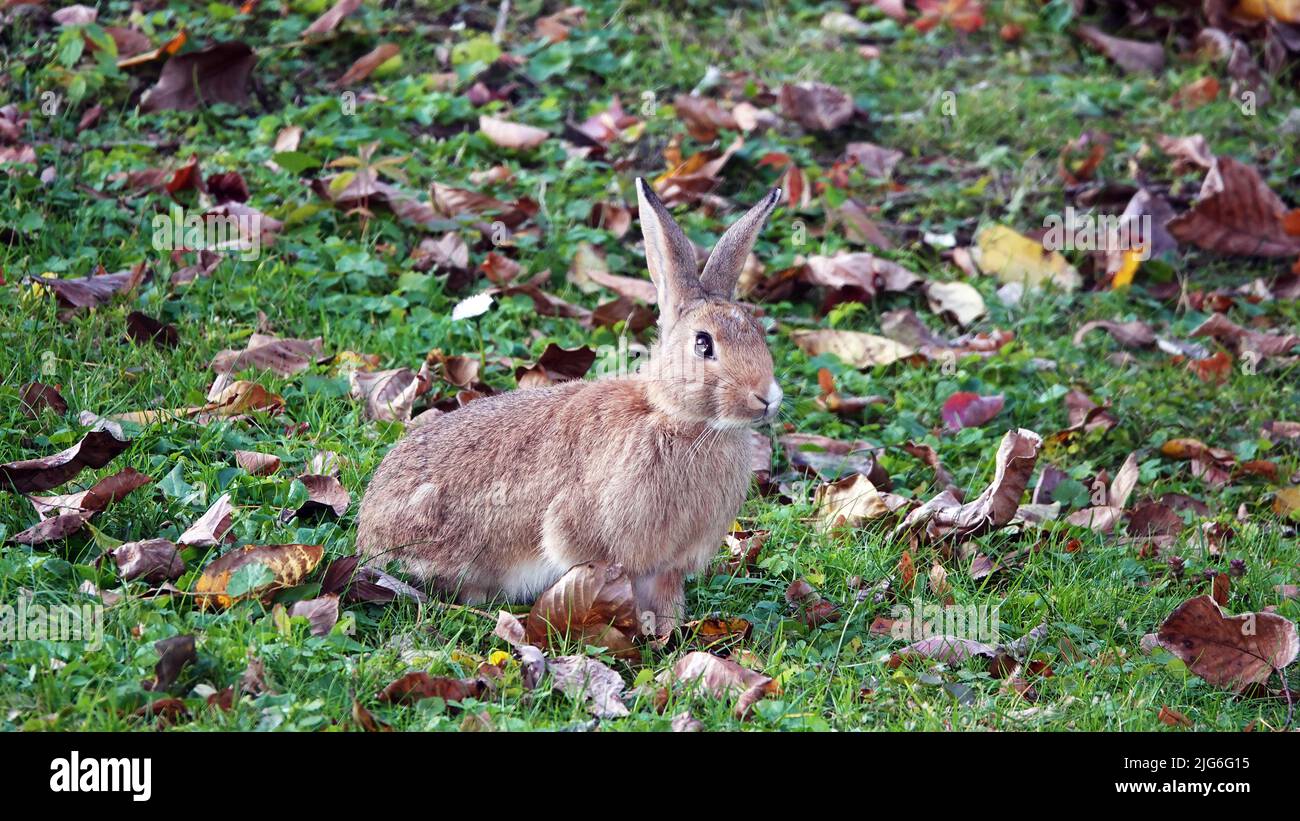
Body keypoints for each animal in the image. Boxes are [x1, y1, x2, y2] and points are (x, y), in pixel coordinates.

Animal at [355, 178, 782, 635]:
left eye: (760, 333)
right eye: (704, 344)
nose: (767, 397)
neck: (675, 417)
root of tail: (367, 529)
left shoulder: (667, 569)